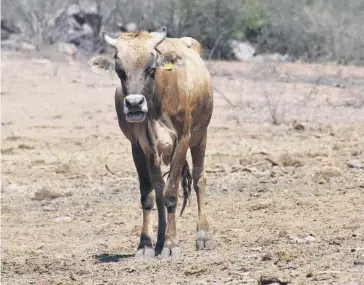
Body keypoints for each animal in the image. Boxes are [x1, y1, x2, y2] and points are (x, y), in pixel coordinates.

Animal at [90, 27, 213, 258]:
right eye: (120, 71)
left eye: (151, 69)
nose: (134, 104)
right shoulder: (138, 146)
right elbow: (148, 194)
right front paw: (146, 244)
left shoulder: (182, 141)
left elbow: (171, 193)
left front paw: (172, 245)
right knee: (158, 188)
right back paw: (159, 241)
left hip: (201, 136)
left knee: (199, 178)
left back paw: (203, 236)